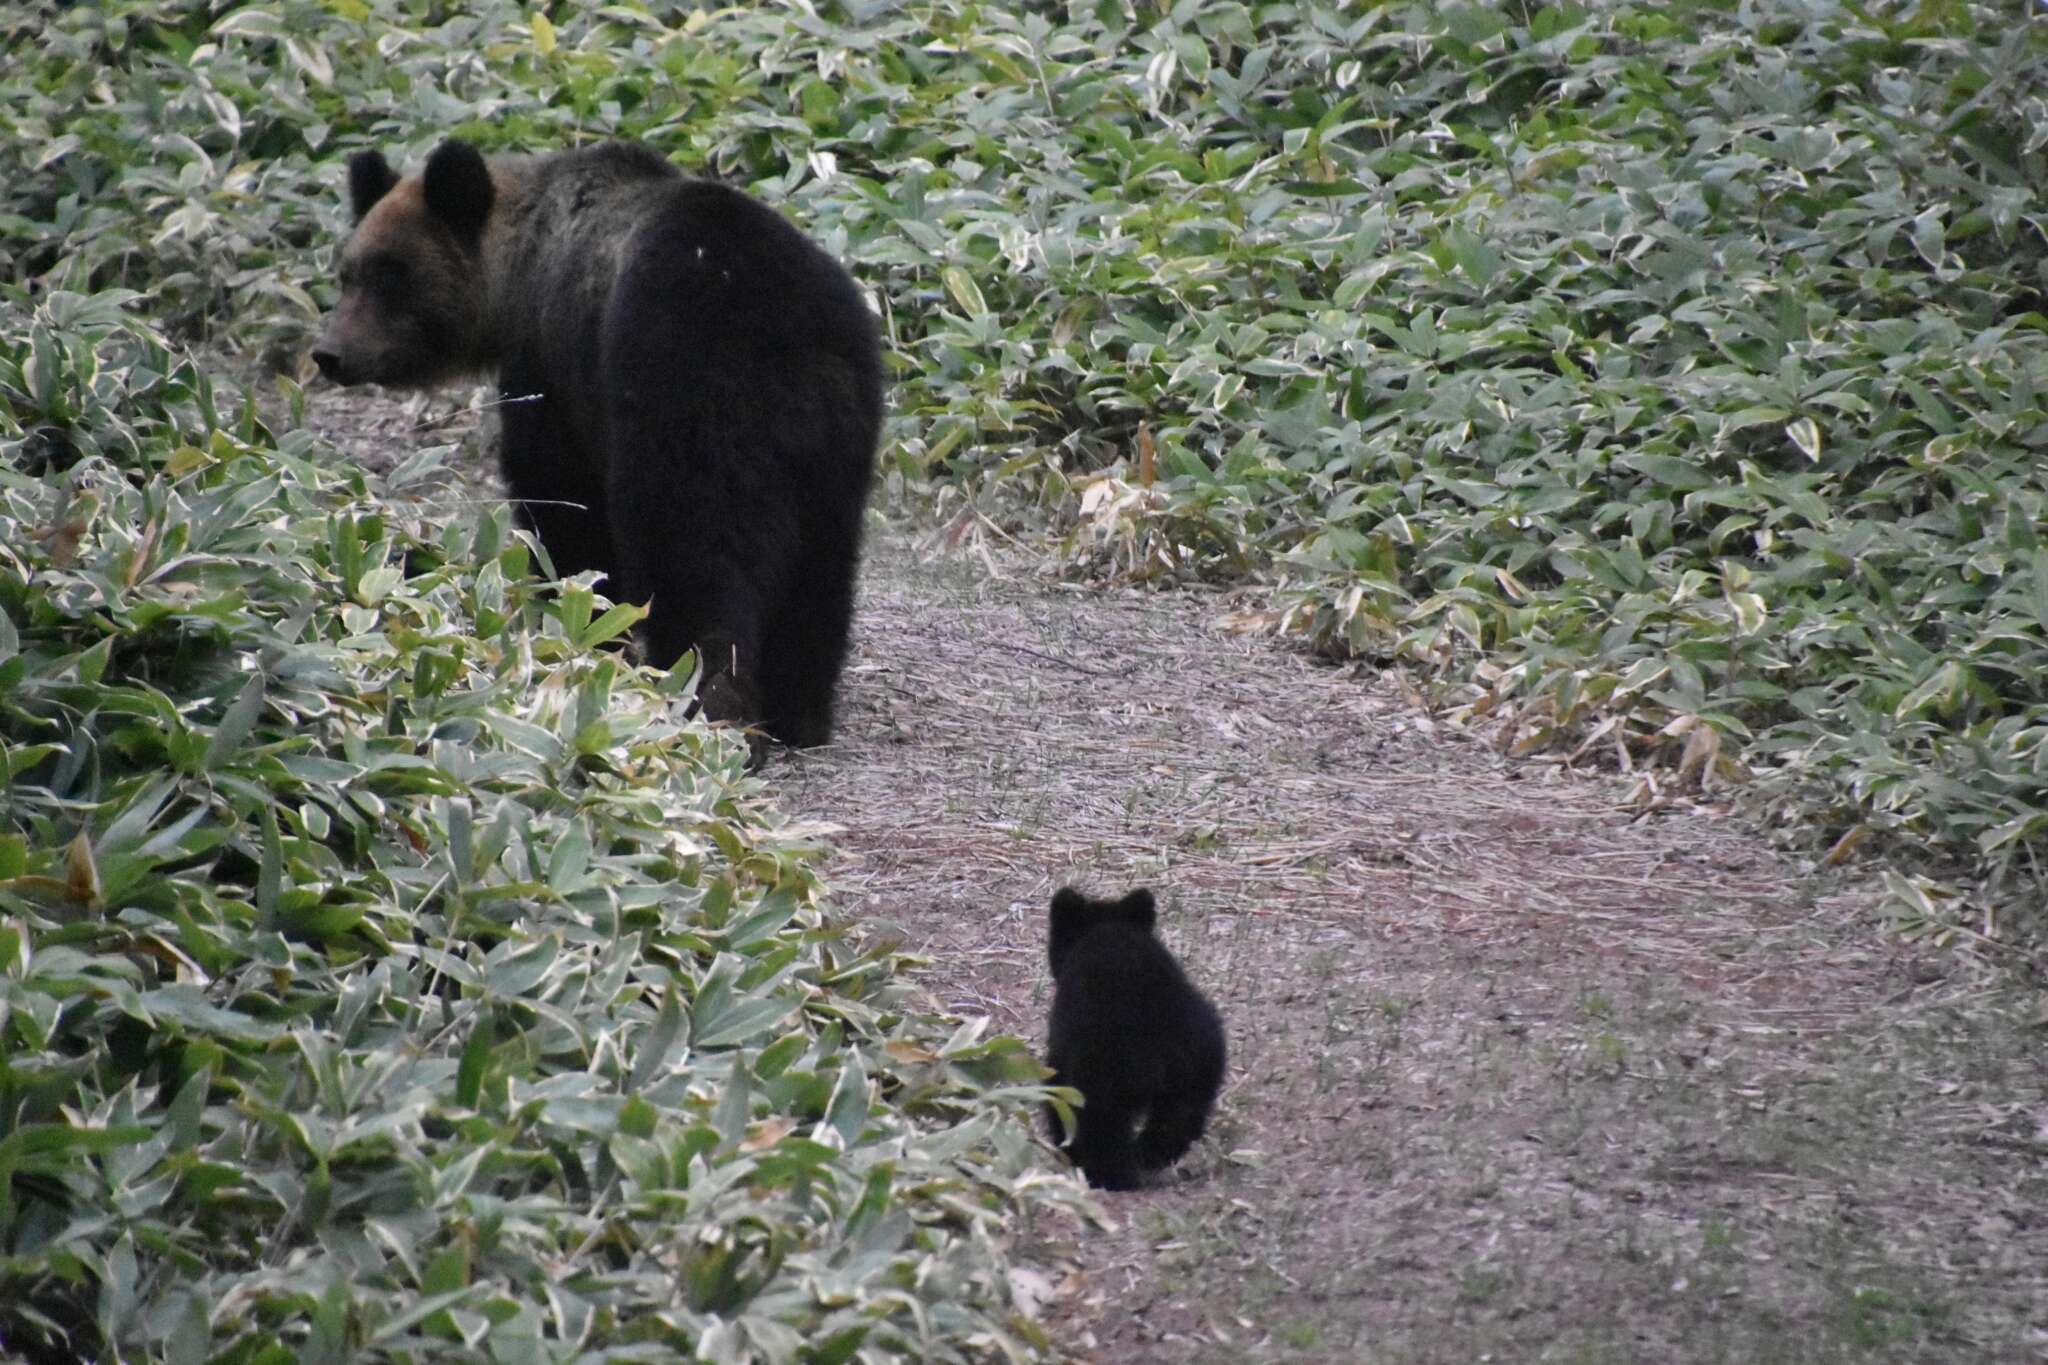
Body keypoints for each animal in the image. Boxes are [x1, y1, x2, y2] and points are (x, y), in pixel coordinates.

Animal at [311, 140, 880, 753]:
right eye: (348, 274)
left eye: (390, 276)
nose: (330, 353)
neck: (521, 269)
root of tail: (786, 337)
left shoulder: (552, 366)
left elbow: (562, 499)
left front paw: (578, 622)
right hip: (836, 435)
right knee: (821, 571)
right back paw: (800, 715)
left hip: (689, 396)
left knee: (694, 552)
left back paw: (704, 700)